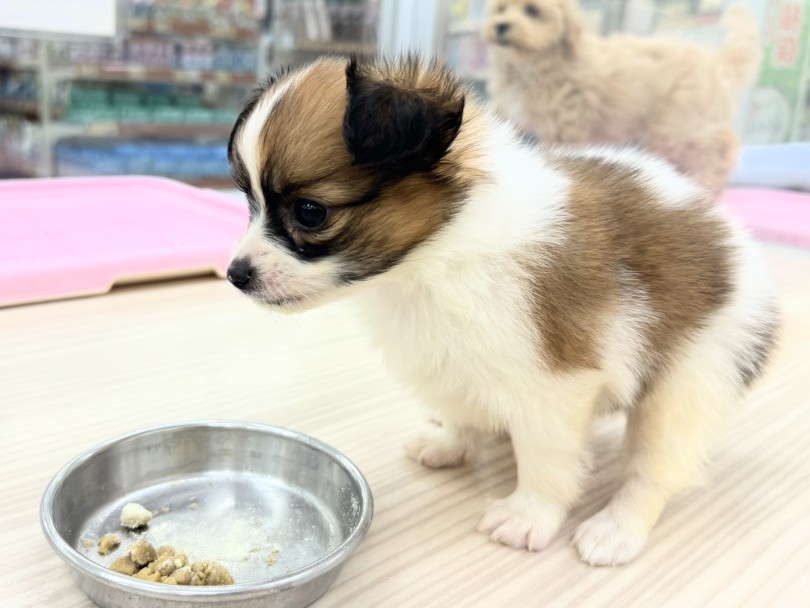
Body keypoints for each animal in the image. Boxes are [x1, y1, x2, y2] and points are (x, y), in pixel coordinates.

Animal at [226, 55, 776, 564]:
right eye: (248, 203)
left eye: (310, 212)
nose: (236, 274)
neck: (439, 251)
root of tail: (737, 243)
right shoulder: (447, 355)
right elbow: (460, 406)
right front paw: (451, 443)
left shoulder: (557, 384)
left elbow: (546, 458)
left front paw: (529, 515)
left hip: (693, 378)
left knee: (654, 467)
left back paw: (616, 528)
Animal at [482, 0, 760, 195]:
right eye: (501, 9)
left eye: (533, 11)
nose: (501, 26)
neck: (529, 66)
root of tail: (717, 60)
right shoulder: (508, 111)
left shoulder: (565, 125)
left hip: (677, 126)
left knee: (722, 147)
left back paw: (711, 183)